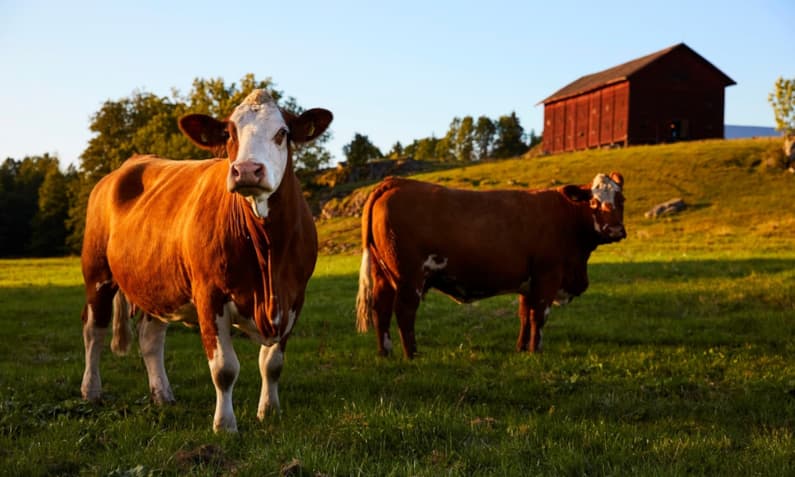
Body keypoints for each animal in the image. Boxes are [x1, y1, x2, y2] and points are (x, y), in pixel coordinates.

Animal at [78, 88, 332, 432]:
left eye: (282, 133)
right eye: (229, 134)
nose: (247, 170)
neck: (267, 257)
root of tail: (133, 161)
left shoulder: (294, 297)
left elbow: (272, 363)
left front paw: (269, 411)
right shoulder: (209, 294)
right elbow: (224, 368)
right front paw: (225, 424)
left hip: (157, 282)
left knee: (150, 338)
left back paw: (163, 395)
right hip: (97, 273)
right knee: (94, 330)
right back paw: (91, 391)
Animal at [358, 172, 624, 356]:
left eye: (621, 199)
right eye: (593, 201)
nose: (615, 230)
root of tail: (396, 182)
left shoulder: (528, 281)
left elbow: (524, 314)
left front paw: (521, 349)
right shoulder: (547, 276)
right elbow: (539, 316)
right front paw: (535, 351)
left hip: (382, 274)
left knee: (380, 308)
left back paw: (386, 352)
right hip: (409, 276)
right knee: (404, 311)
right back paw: (412, 354)